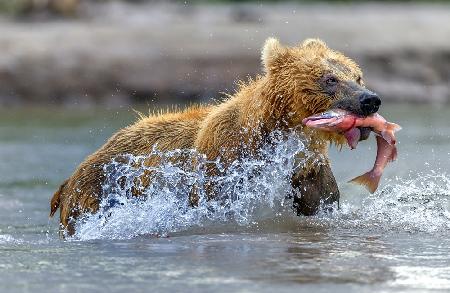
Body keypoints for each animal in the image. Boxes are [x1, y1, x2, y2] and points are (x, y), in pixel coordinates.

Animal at [50, 38, 380, 235]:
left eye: (357, 75)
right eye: (330, 79)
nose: (369, 100)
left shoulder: (307, 168)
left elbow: (320, 203)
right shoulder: (224, 163)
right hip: (97, 194)